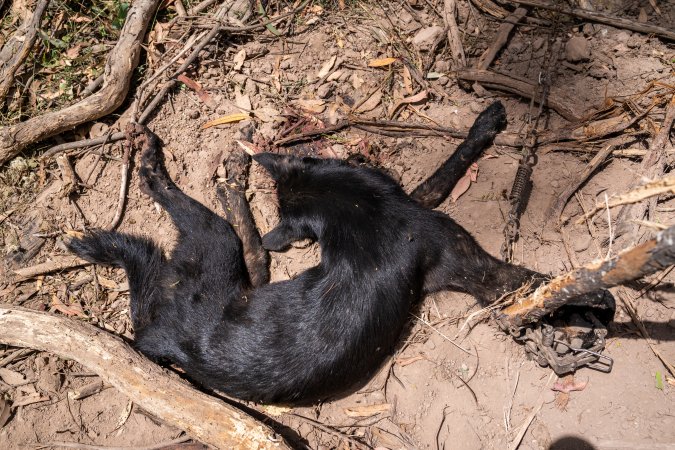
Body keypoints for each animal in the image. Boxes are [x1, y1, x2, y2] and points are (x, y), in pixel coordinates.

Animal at [66, 103, 548, 404]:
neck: (357, 209)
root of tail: (160, 333)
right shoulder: (440, 229)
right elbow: (453, 169)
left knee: (251, 251)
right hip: (217, 239)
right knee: (175, 197)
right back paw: (159, 158)